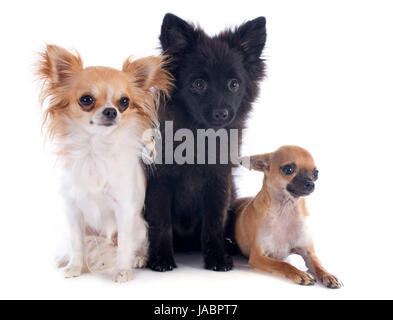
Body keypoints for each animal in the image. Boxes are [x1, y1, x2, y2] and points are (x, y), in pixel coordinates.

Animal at [144, 13, 266, 272]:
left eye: (234, 84)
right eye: (198, 84)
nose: (221, 113)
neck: (200, 136)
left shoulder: (219, 181)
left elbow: (213, 224)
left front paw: (217, 258)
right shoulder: (159, 182)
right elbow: (161, 223)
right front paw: (161, 258)